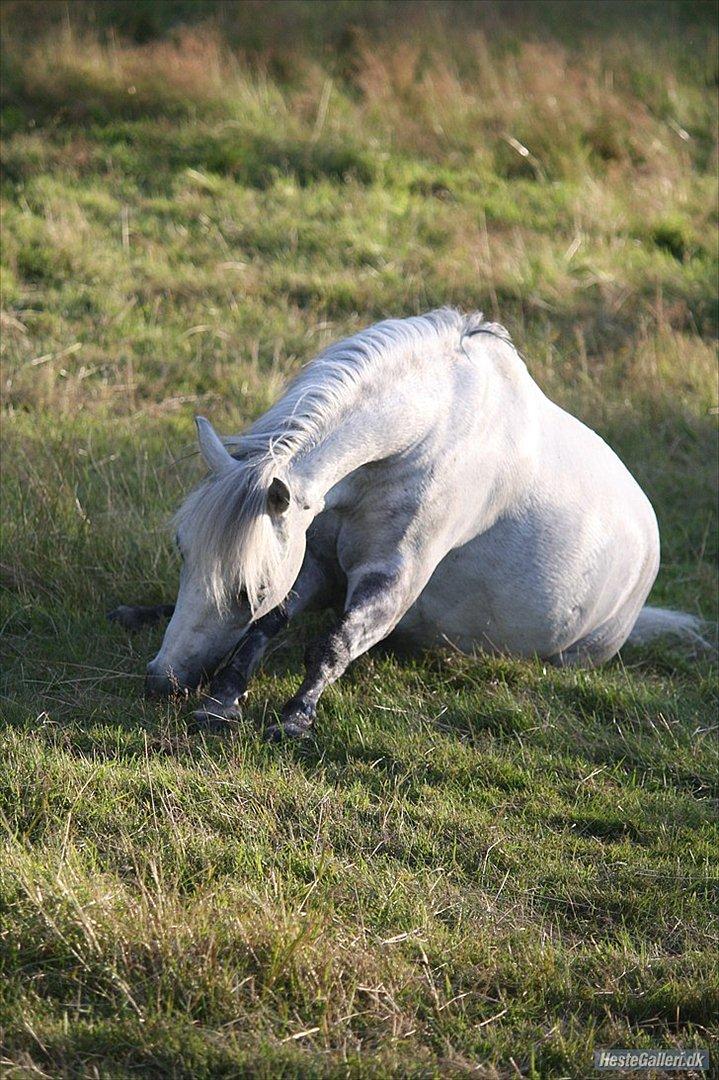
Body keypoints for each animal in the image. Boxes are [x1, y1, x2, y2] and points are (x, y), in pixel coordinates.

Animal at [113, 308, 703, 738]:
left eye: (246, 590)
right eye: (182, 551)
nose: (162, 681)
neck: (420, 439)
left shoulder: (392, 579)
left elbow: (331, 643)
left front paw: (294, 719)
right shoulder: (314, 560)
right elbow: (270, 625)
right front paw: (222, 700)